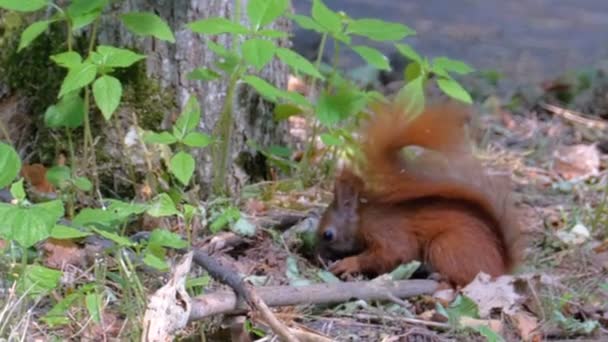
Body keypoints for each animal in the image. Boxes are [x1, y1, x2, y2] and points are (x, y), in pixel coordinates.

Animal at [316, 101, 520, 286]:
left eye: (328, 235)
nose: (317, 256)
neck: (363, 219)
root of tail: (501, 268)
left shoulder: (387, 232)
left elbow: (394, 252)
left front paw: (349, 263)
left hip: (446, 246)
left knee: (464, 279)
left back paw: (441, 278)